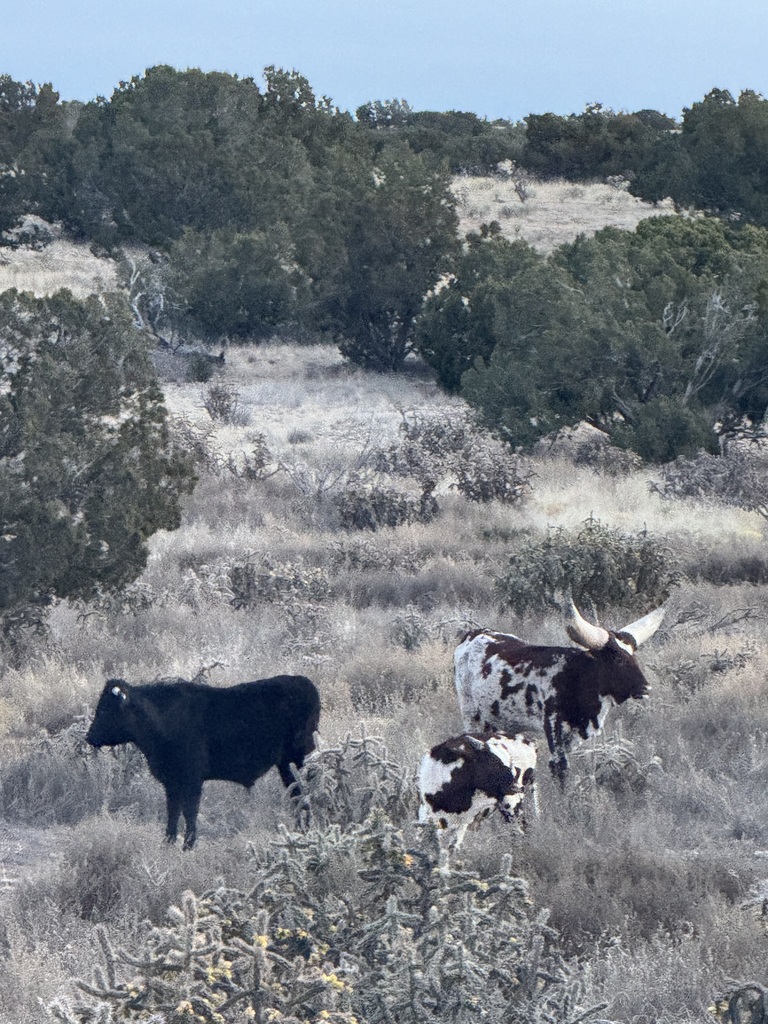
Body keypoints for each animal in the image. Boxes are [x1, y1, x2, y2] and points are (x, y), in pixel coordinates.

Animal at [86, 674, 321, 849]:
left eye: (105, 709)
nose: (89, 736)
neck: (162, 719)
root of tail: (305, 683)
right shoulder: (171, 781)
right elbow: (173, 810)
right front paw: (168, 842)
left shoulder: (192, 779)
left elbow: (189, 811)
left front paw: (188, 845)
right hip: (287, 765)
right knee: (298, 795)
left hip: (297, 760)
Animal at [454, 600, 664, 785]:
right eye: (618, 659)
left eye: (634, 656)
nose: (646, 688)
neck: (577, 678)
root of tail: (472, 635)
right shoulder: (554, 729)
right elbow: (560, 769)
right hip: (471, 712)